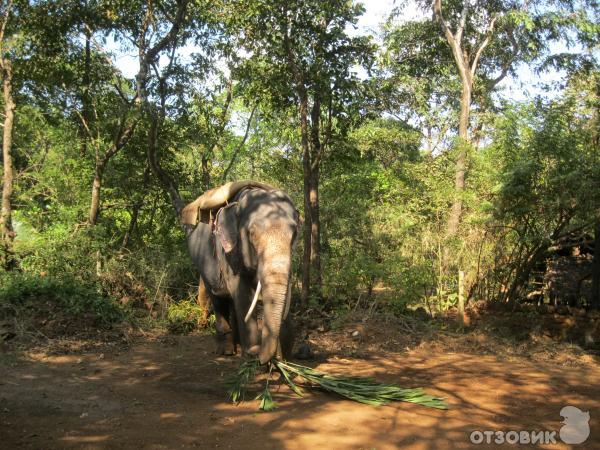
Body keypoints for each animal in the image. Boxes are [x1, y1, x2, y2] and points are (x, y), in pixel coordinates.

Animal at [185, 185, 300, 364]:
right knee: (218, 300)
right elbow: (243, 294)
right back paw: (226, 351)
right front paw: (252, 354)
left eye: (294, 233)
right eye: (252, 234)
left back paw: (238, 346)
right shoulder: (228, 252)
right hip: (201, 262)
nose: (262, 357)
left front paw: (283, 359)